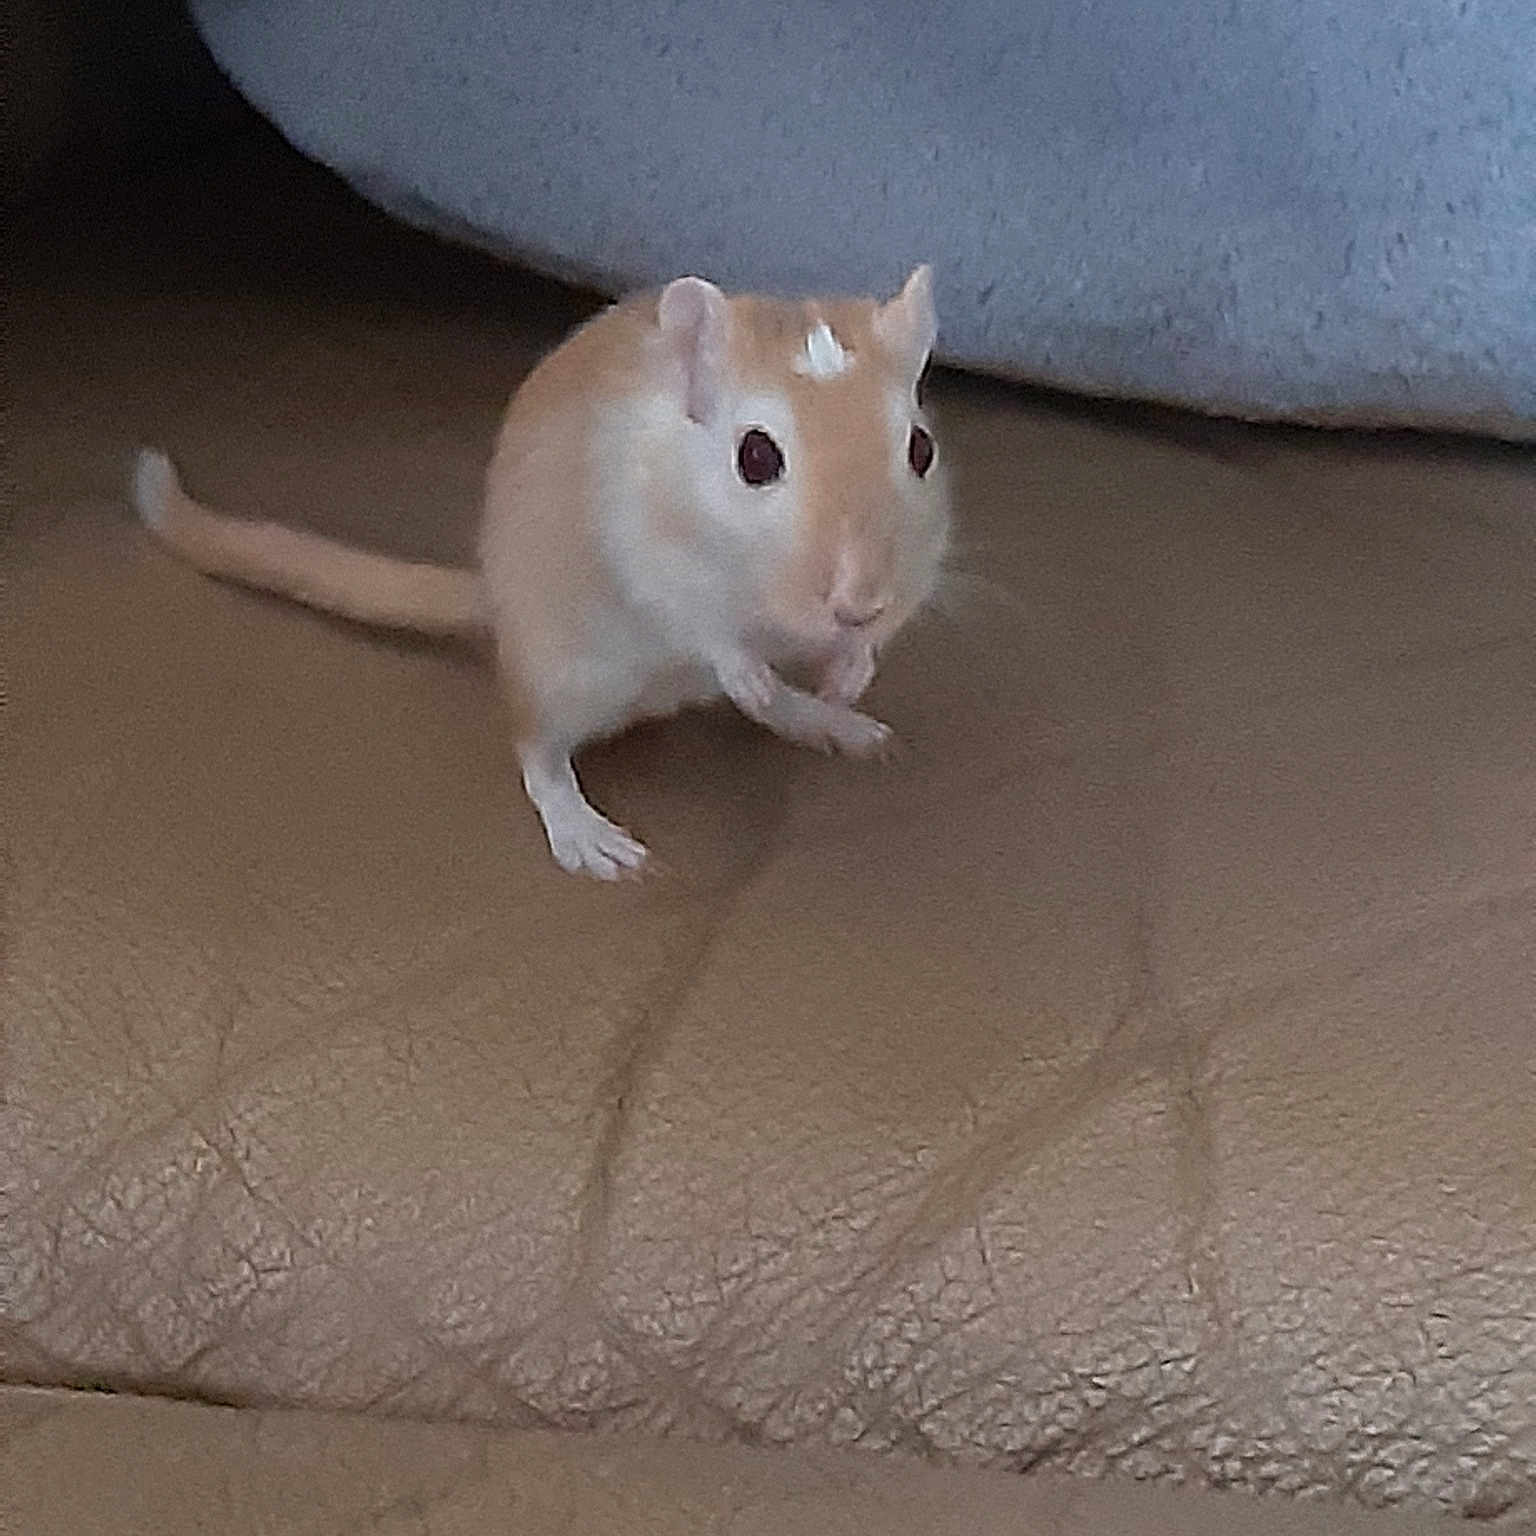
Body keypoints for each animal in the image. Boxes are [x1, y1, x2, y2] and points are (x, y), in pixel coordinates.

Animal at [132, 266, 951, 878]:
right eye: (755, 457)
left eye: (921, 448)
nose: (859, 605)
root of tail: (493, 596)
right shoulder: (649, 560)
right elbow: (703, 626)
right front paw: (752, 668)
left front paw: (850, 672)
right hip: (557, 675)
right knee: (537, 751)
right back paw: (591, 837)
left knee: (771, 710)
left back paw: (834, 721)